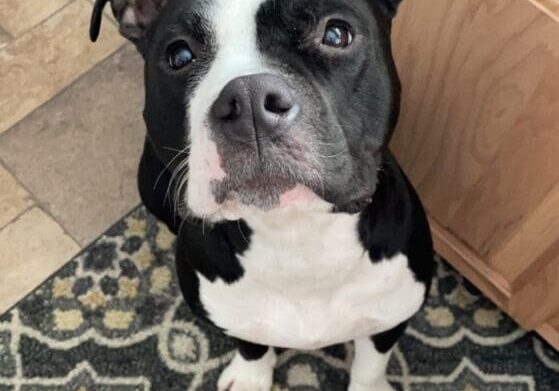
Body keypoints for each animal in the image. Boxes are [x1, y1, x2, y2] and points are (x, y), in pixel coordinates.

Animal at [91, 1, 434, 390]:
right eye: (179, 55)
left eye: (336, 34)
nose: (249, 99)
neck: (297, 237)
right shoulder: (233, 314)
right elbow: (251, 342)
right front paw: (250, 377)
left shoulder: (392, 315)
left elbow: (371, 362)